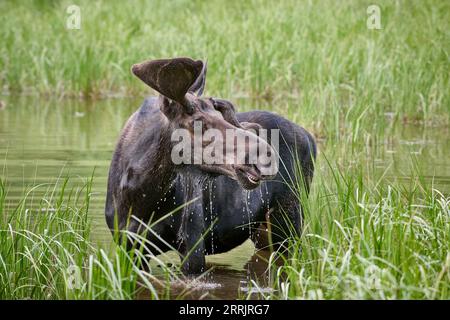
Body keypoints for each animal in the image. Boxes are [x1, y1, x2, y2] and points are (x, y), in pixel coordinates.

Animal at [105, 56, 316, 274]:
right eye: (197, 121)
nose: (265, 154)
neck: (139, 196)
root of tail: (310, 138)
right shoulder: (128, 246)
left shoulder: (193, 242)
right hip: (263, 231)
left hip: (289, 219)